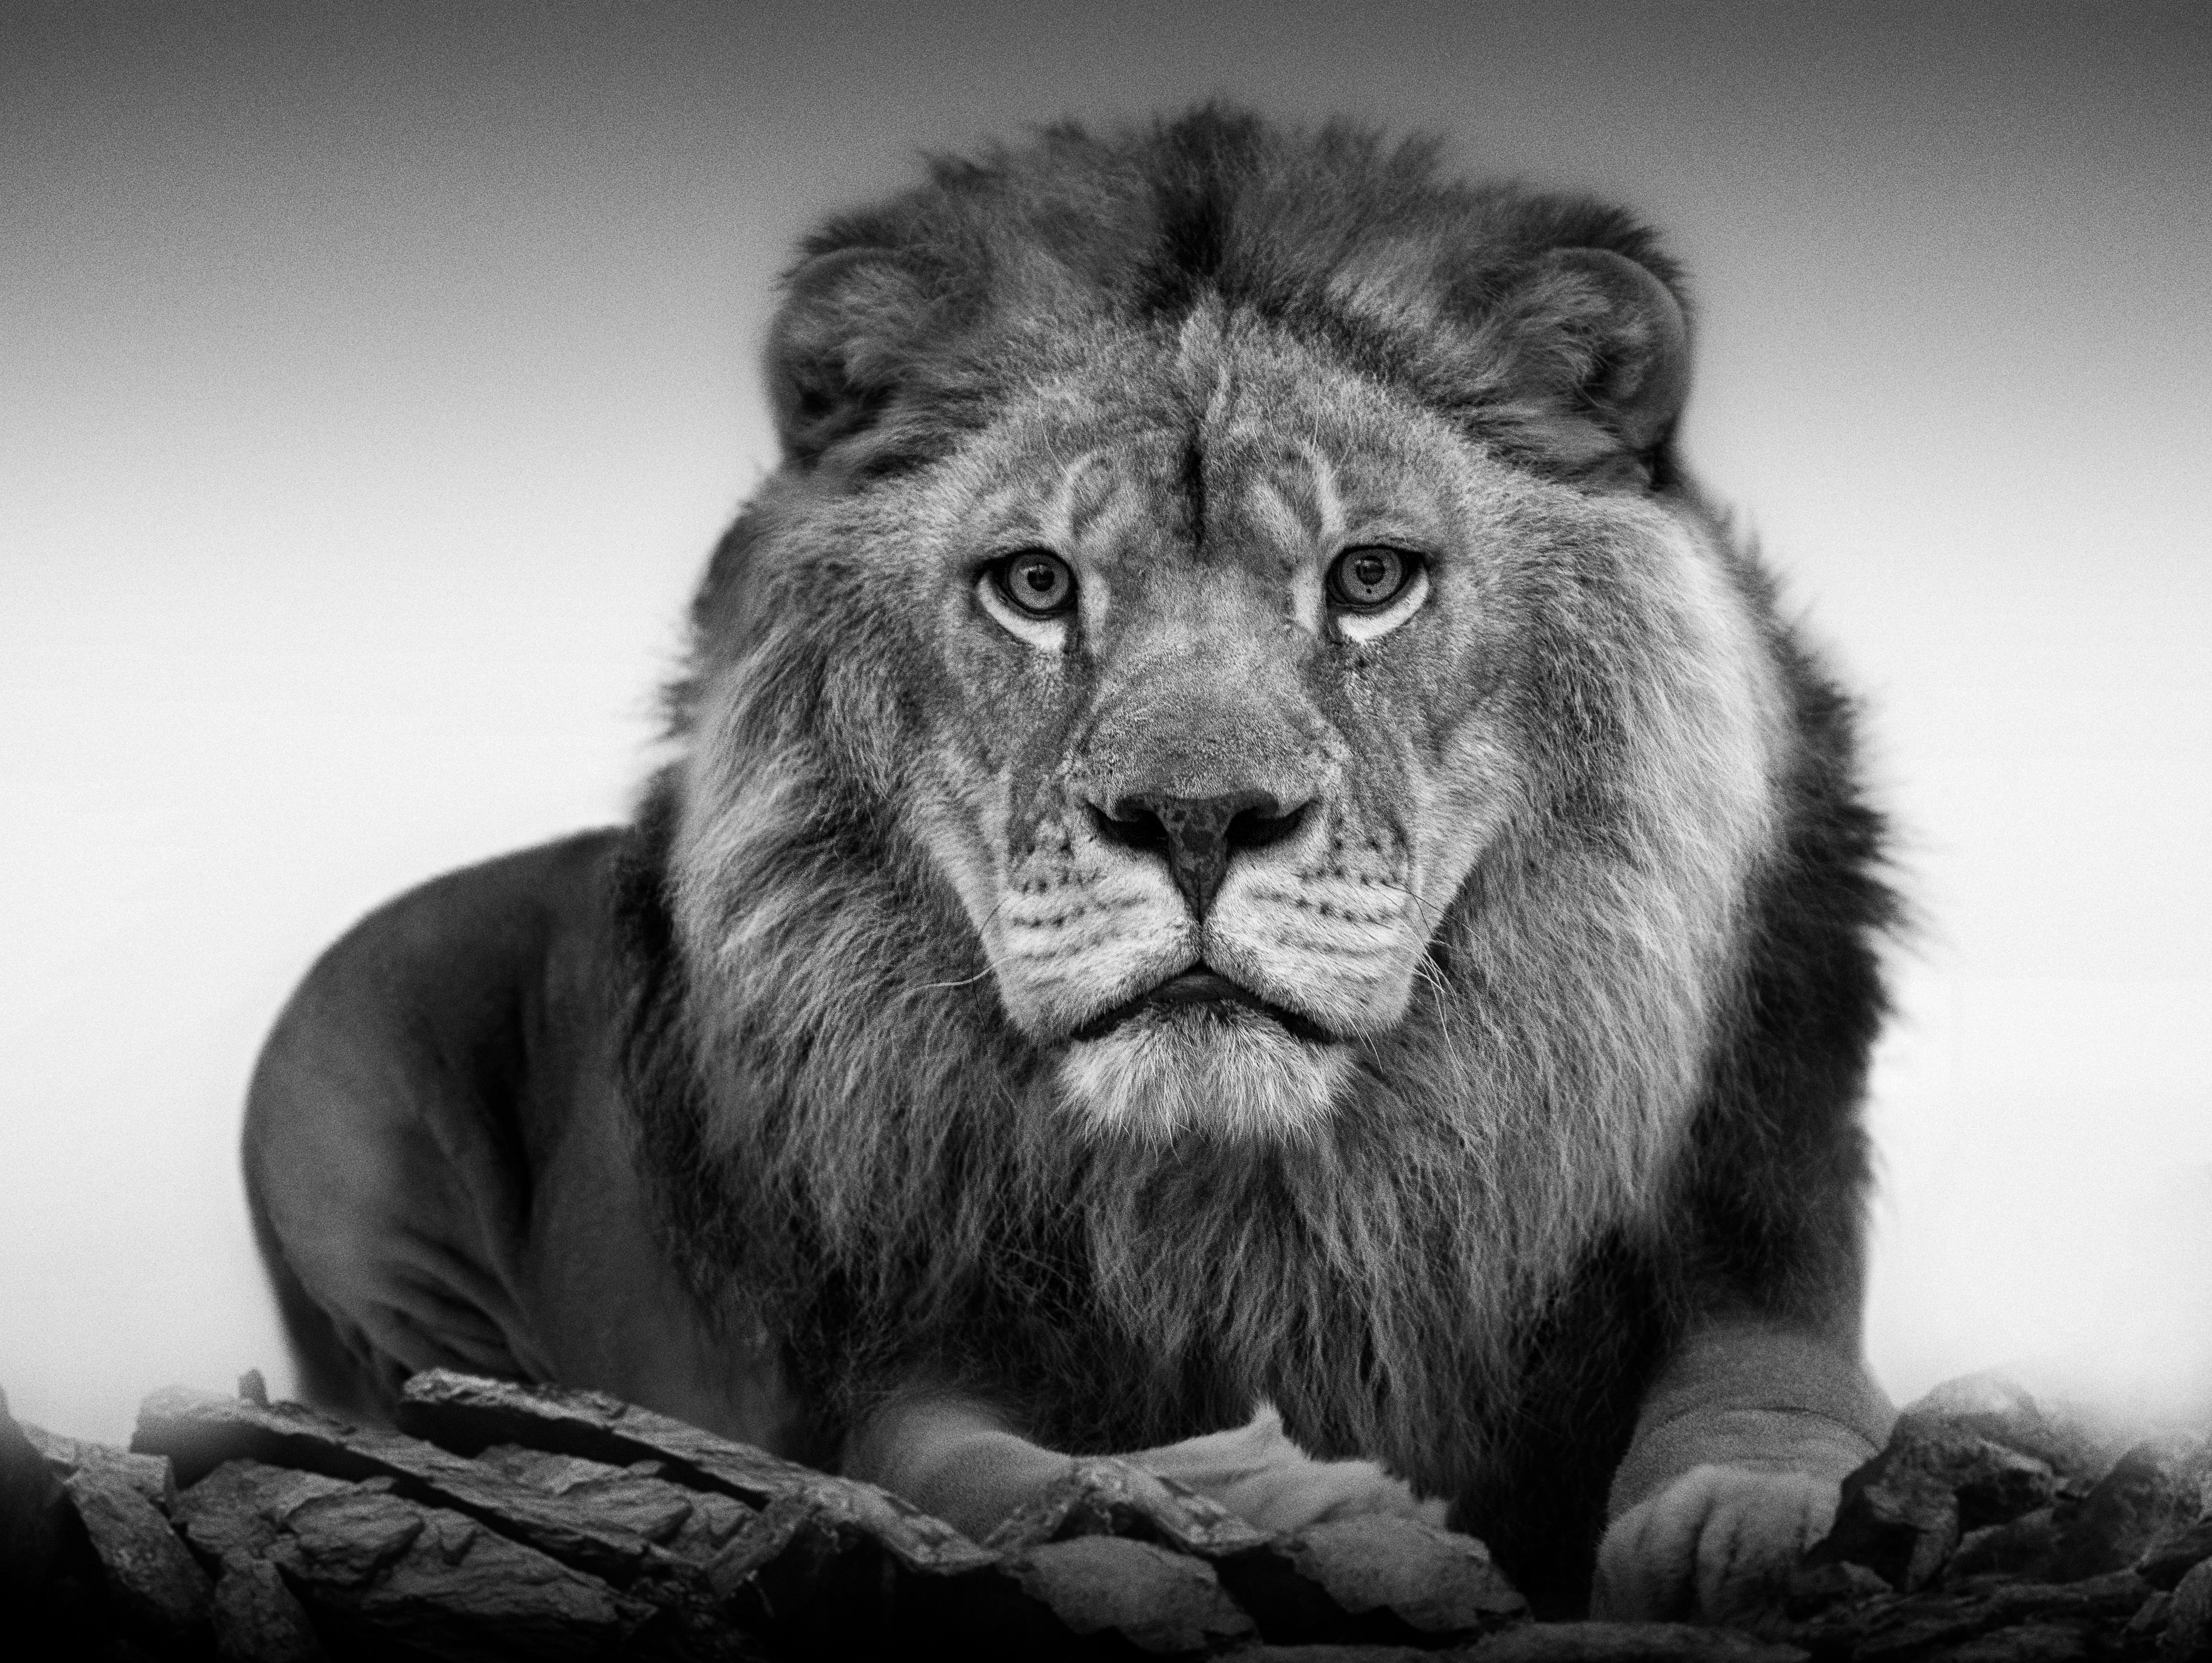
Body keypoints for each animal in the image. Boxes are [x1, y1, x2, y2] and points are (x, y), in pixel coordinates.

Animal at [244, 109, 1898, 1622]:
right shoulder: (905, 1351)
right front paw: (1285, 1506)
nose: (1198, 819)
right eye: (1036, 585)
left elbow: (1780, 1380)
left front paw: (1757, 1517)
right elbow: (968, 1470)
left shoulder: (1758, 1220)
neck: (1271, 1196)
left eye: (1371, 578)